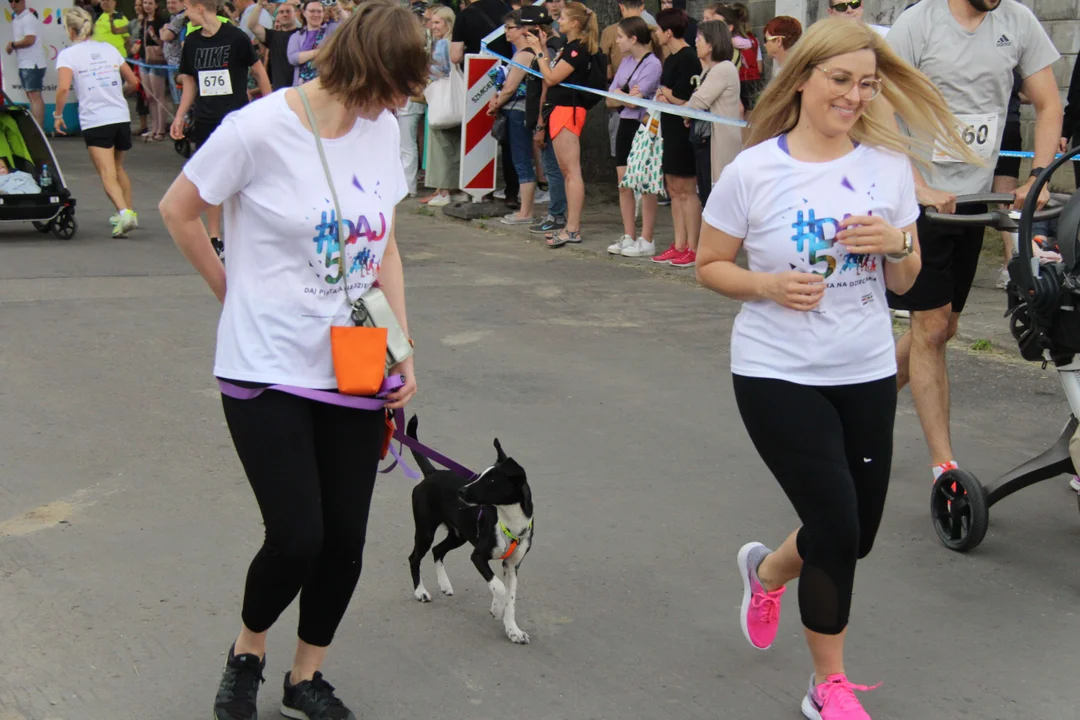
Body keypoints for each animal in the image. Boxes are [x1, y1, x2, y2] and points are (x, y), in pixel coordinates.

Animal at [406, 416, 535, 647]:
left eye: (491, 480)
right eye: (480, 475)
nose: (461, 491)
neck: (510, 521)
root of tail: (432, 473)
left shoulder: (512, 566)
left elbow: (511, 598)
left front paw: (513, 630)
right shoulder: (478, 556)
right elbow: (499, 587)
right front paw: (496, 608)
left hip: (458, 535)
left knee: (438, 550)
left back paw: (445, 584)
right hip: (425, 531)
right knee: (415, 557)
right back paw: (420, 592)